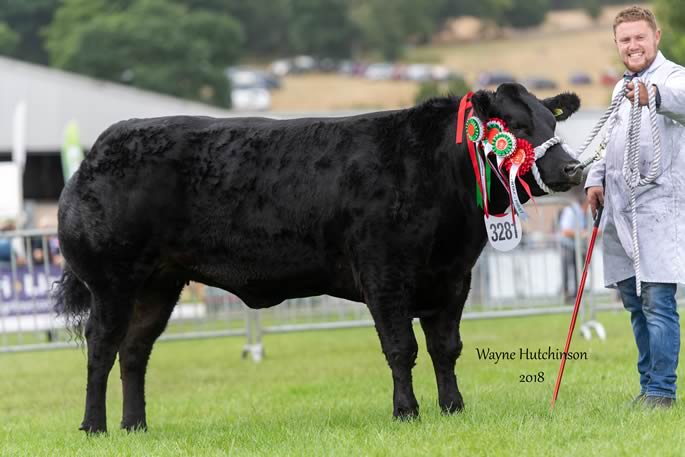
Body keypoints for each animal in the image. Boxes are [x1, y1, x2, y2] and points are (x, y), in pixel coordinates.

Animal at [53, 83, 580, 432]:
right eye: (515, 126)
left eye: (553, 121)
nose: (573, 168)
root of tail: (99, 151)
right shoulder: (384, 273)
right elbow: (401, 348)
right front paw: (406, 412)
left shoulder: (452, 277)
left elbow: (445, 348)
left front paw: (453, 407)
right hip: (112, 281)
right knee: (101, 346)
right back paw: (94, 426)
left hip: (158, 284)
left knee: (134, 350)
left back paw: (134, 425)